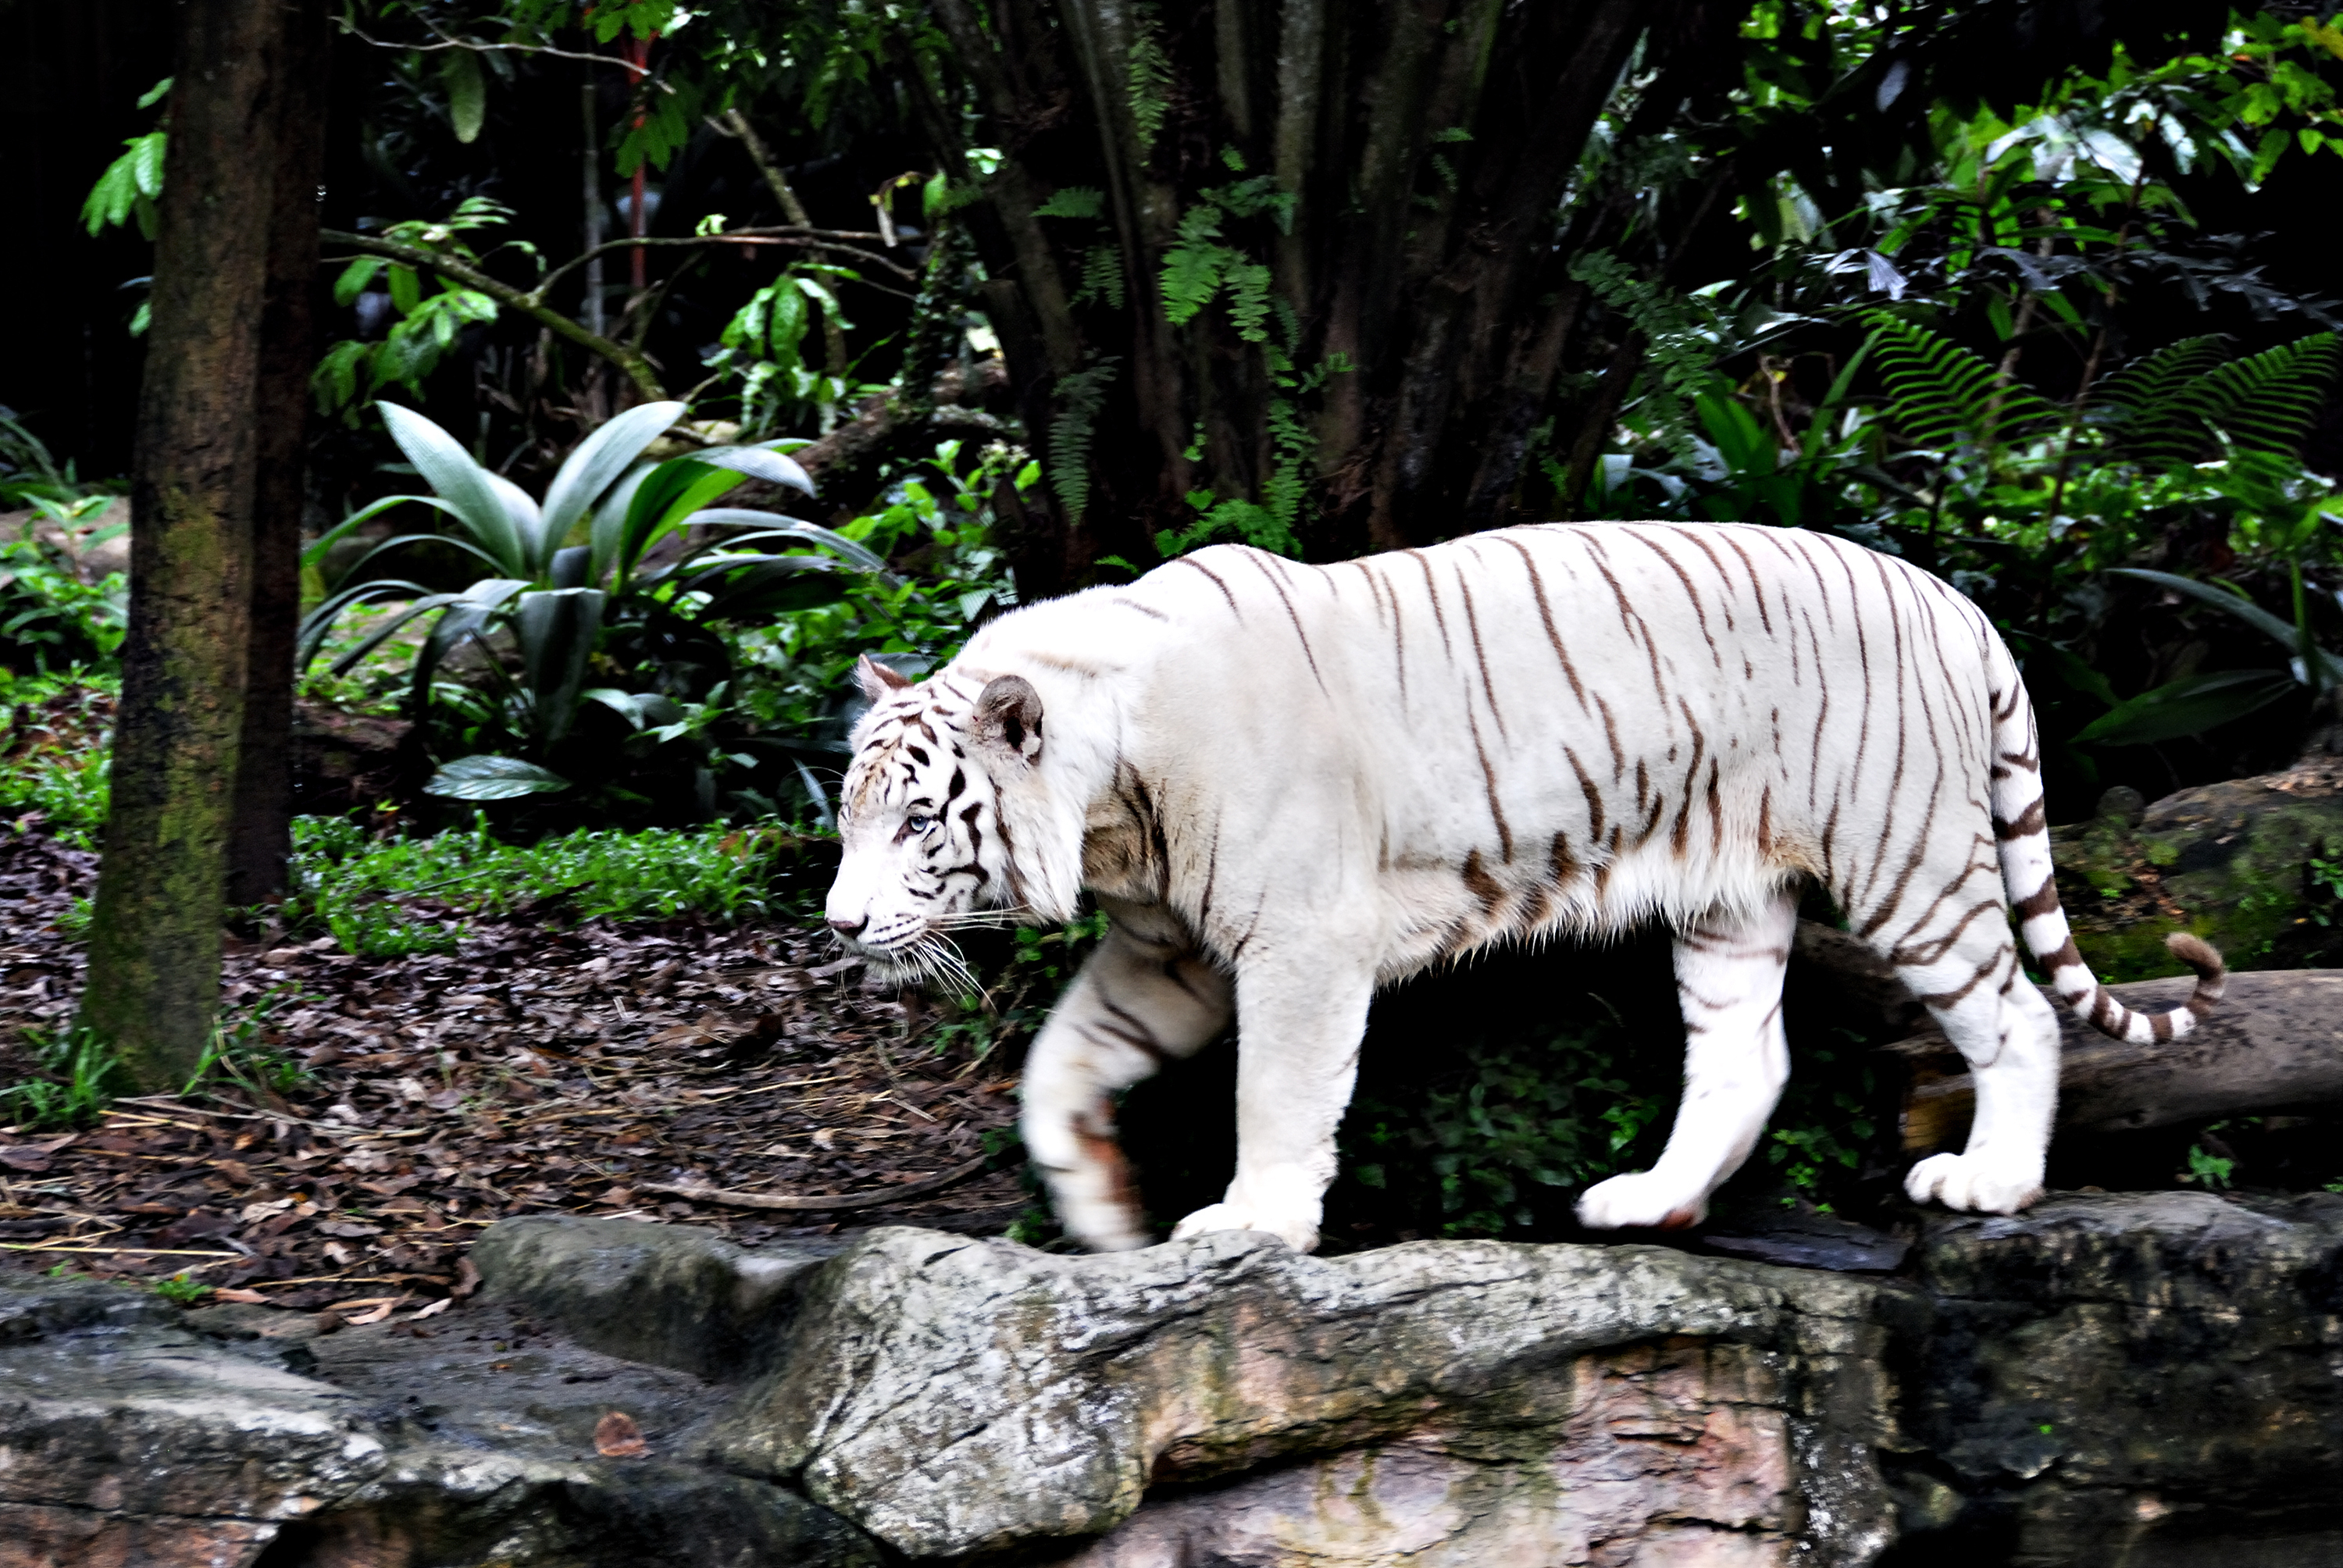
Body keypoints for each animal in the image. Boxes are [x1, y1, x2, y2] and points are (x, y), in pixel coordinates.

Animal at [829, 522, 2231, 1246]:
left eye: (917, 819)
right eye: (847, 816)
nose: (840, 923)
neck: (1112, 810)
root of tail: (1956, 601)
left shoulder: (1299, 943)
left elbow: (1275, 1096)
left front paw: (1251, 1224)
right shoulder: (1170, 949)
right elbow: (1060, 1057)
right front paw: (1098, 1206)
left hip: (1910, 862)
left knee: (2019, 1013)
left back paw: (1990, 1182)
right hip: (1727, 899)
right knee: (1747, 1057)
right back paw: (1651, 1201)